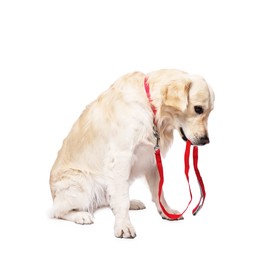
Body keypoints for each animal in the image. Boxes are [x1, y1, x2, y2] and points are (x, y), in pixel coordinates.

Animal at [49, 68, 214, 238]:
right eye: (198, 109)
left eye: (210, 111)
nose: (206, 140)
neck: (150, 106)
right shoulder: (121, 156)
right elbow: (121, 198)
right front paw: (124, 225)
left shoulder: (151, 158)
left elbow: (158, 191)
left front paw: (166, 211)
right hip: (81, 184)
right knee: (57, 211)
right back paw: (81, 215)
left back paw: (132, 203)